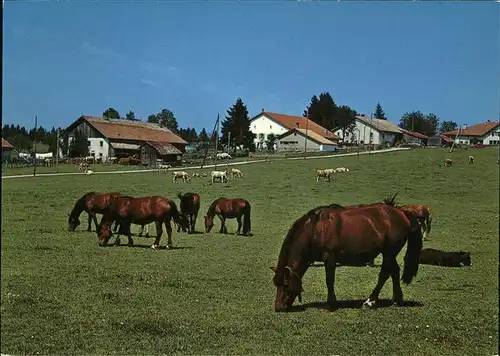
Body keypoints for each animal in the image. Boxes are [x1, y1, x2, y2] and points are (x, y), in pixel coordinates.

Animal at [270, 200, 422, 312]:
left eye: (285, 284)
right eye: (276, 284)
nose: (278, 307)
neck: (315, 228)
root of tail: (401, 211)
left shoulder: (329, 257)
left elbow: (329, 280)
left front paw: (331, 304)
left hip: (389, 253)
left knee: (385, 273)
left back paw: (370, 301)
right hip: (389, 254)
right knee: (394, 271)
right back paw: (397, 299)